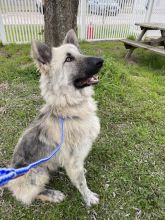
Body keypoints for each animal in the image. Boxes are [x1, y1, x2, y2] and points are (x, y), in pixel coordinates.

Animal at [6, 29, 104, 206]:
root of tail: (9, 179)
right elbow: (81, 182)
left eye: (80, 53)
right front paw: (88, 197)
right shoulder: (73, 162)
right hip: (39, 172)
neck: (69, 108)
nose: (101, 61)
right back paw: (52, 194)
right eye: (69, 59)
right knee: (30, 195)